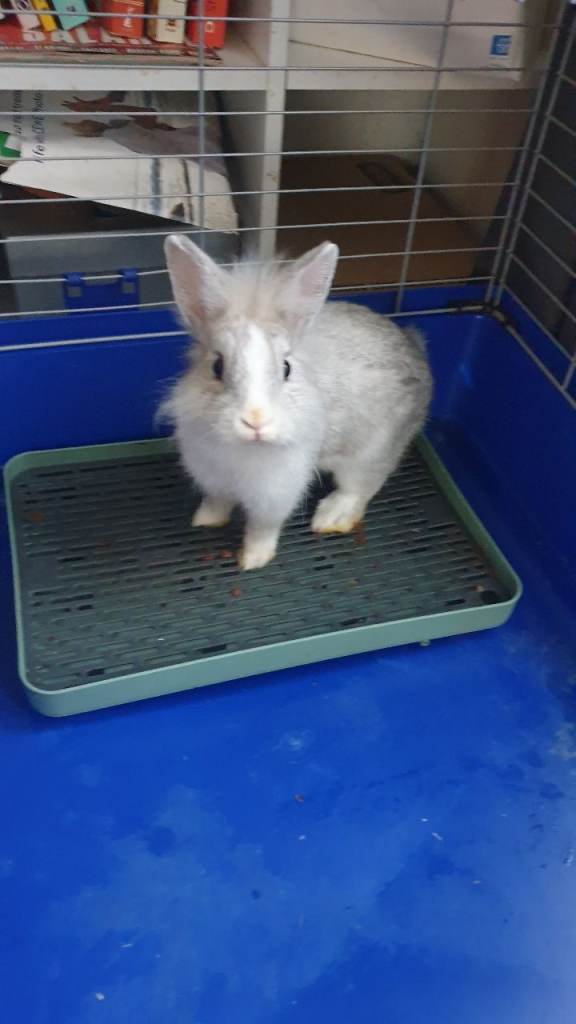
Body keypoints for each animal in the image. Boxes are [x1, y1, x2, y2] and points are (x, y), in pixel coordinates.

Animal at [161, 235, 432, 571]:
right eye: (217, 367)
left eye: (286, 368)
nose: (255, 421)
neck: (242, 449)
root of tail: (415, 349)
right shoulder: (213, 478)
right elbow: (217, 502)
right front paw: (205, 520)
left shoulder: (275, 494)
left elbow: (262, 529)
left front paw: (252, 560)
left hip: (371, 453)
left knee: (359, 487)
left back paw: (331, 517)